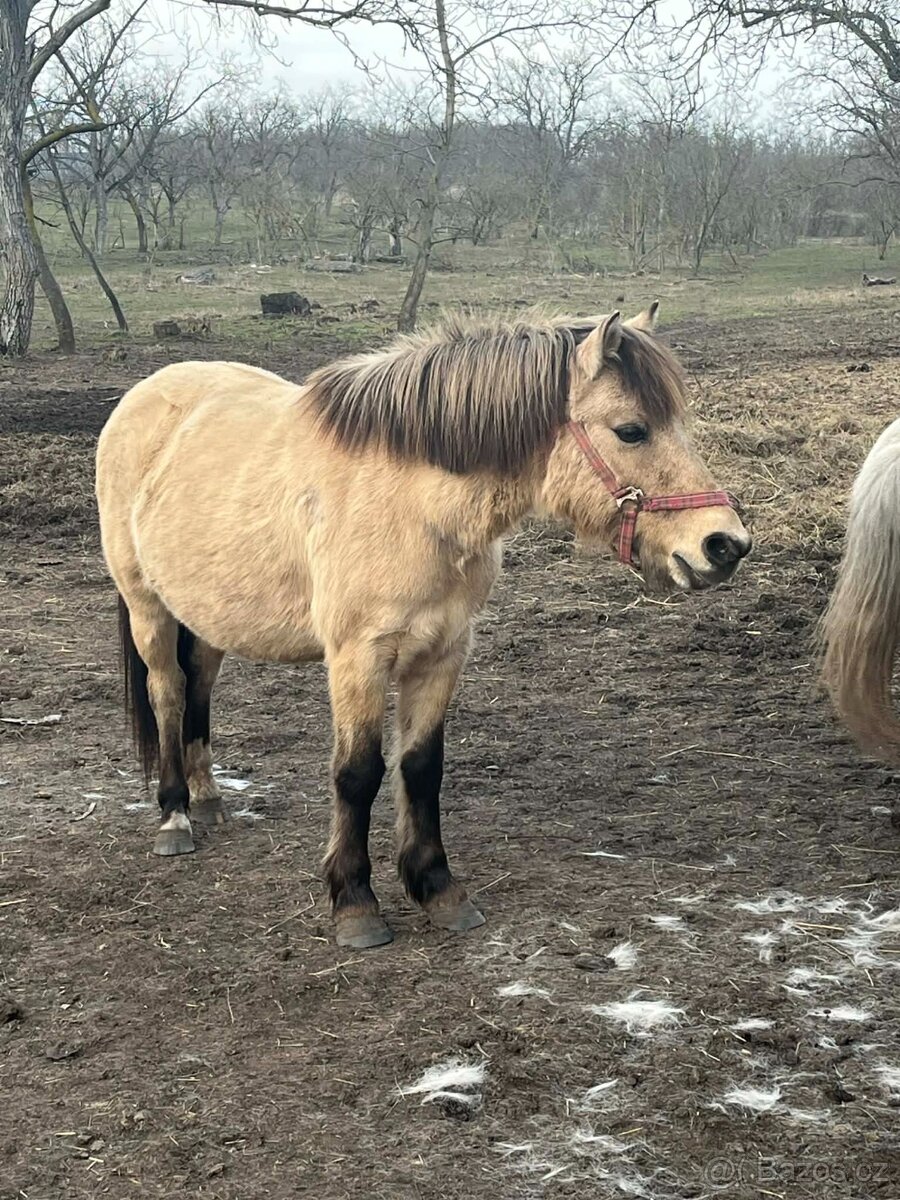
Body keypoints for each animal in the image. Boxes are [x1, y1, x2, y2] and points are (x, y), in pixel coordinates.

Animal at [96, 304, 751, 949]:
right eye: (631, 430)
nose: (725, 545)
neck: (413, 505)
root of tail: (143, 396)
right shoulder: (358, 658)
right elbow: (358, 773)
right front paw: (355, 905)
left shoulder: (443, 652)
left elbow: (421, 767)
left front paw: (438, 889)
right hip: (148, 604)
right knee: (168, 693)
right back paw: (175, 817)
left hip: (207, 615)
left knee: (199, 689)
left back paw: (207, 800)